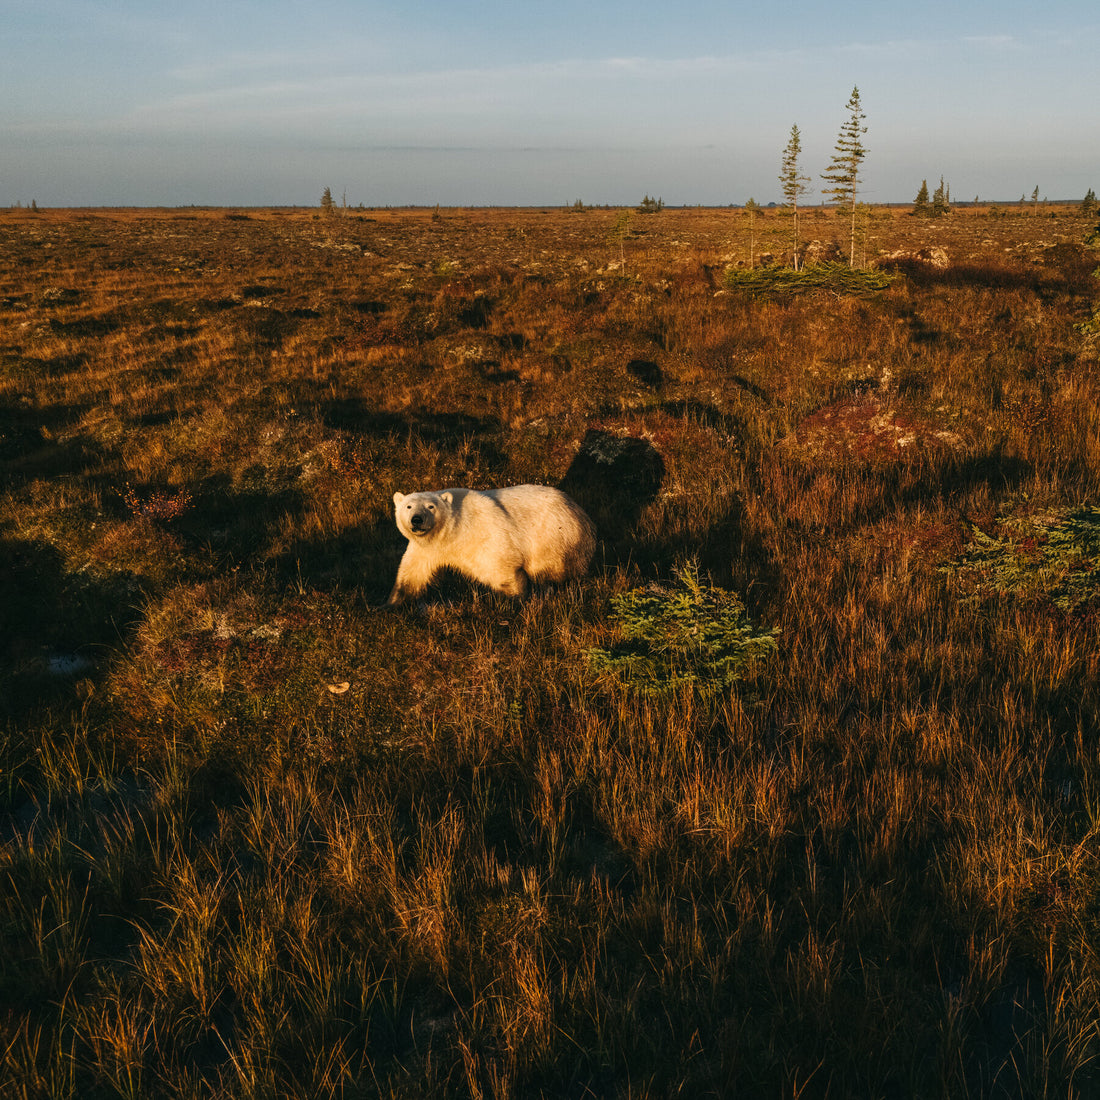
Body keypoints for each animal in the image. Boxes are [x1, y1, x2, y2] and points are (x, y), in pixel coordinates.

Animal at [387, 484, 596, 604]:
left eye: (431, 506)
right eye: (408, 506)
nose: (417, 519)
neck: (450, 535)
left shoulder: (482, 535)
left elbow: (501, 567)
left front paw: (515, 599)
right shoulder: (426, 549)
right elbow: (412, 574)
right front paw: (392, 603)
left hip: (554, 536)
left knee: (553, 569)